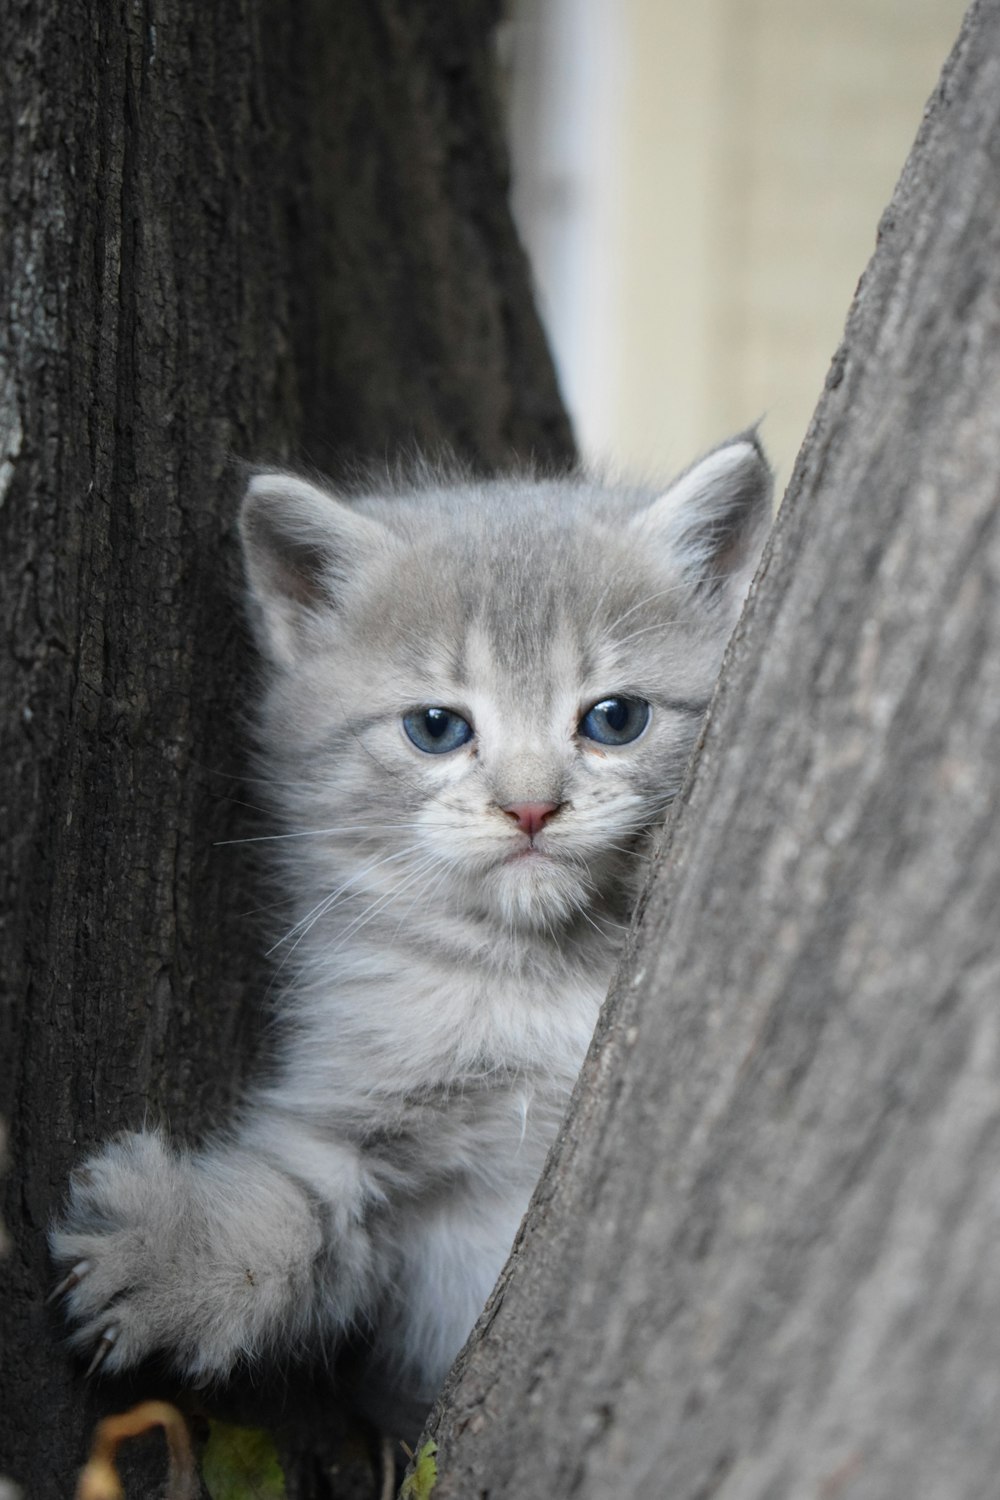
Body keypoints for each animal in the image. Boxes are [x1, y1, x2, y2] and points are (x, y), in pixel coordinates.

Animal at [50, 432, 773, 1428]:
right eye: (437, 727)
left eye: (615, 718)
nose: (531, 807)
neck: (533, 973)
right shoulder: (373, 1114)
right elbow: (295, 1208)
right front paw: (172, 1259)